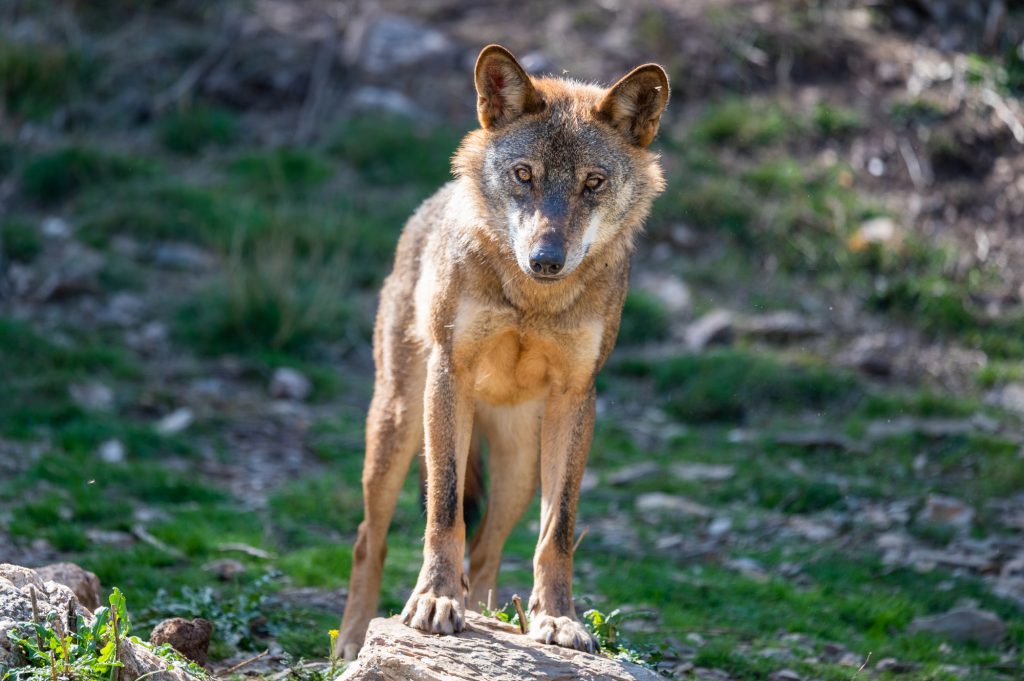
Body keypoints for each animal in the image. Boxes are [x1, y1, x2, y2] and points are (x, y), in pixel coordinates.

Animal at [335, 44, 669, 659]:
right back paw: (349, 641)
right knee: (371, 537)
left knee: (489, 548)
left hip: (519, 465)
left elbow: (558, 531)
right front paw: (435, 601)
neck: (533, 301)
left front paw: (557, 620)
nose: (545, 259)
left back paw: (488, 616)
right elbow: (444, 510)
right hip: (398, 425)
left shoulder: (577, 399)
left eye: (593, 183)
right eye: (524, 175)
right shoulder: (450, 375)